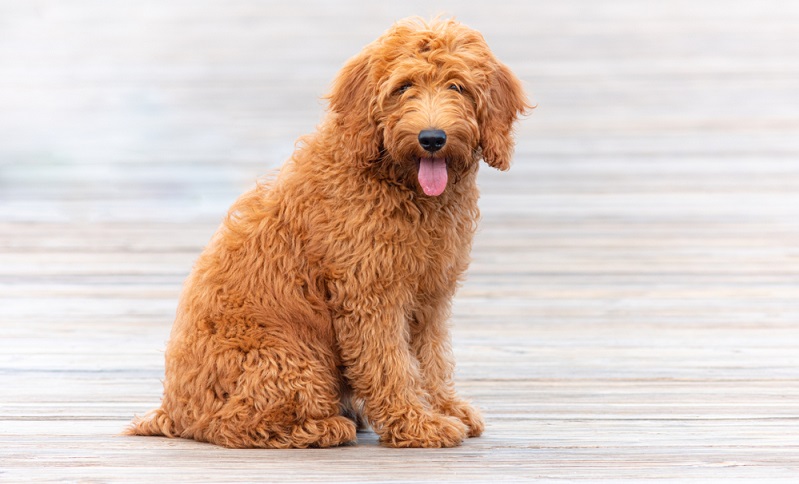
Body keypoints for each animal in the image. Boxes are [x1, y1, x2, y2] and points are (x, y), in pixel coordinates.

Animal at [126, 18, 532, 450]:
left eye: (457, 86)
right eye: (403, 86)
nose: (432, 138)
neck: (396, 184)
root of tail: (174, 410)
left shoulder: (431, 294)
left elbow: (430, 358)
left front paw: (444, 407)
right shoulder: (371, 293)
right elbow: (390, 363)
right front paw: (416, 422)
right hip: (291, 360)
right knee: (234, 423)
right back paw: (326, 427)